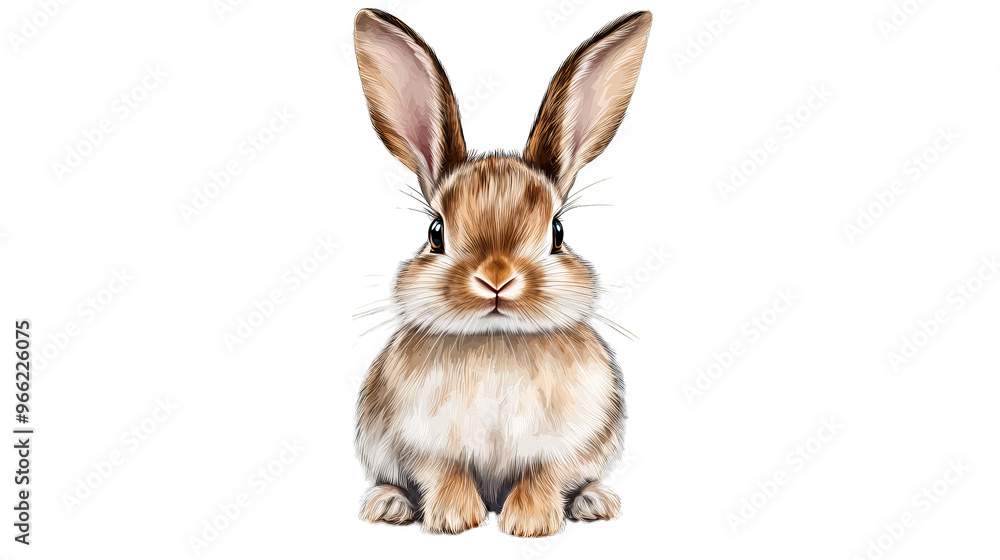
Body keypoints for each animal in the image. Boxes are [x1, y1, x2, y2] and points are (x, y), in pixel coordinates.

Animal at [352, 8, 651, 537]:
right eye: (435, 232)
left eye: (558, 231)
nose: (496, 278)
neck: (496, 340)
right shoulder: (422, 444)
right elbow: (443, 472)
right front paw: (455, 520)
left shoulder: (564, 447)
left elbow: (544, 475)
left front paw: (528, 524)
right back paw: (388, 505)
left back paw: (595, 502)